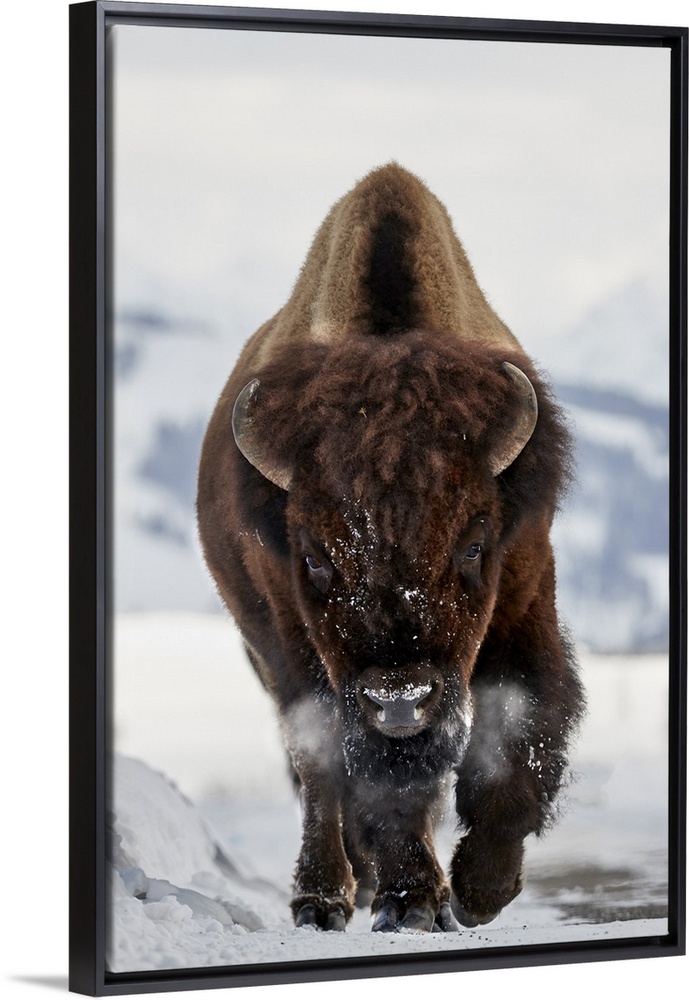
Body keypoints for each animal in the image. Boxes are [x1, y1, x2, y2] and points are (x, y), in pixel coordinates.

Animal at [197, 163, 584, 933]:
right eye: (314, 557)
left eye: (475, 542)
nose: (399, 703)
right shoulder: (301, 645)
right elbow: (362, 776)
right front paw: (411, 900)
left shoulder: (525, 596)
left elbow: (521, 731)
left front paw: (479, 889)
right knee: (319, 771)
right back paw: (324, 897)